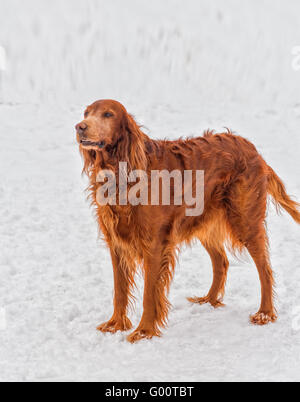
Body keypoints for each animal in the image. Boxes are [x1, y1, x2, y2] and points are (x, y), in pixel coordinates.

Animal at [75, 99, 300, 342]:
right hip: (204, 222)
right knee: (221, 261)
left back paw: (265, 313)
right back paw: (209, 300)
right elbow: (119, 290)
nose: (79, 127)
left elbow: (149, 293)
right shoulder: (116, 243)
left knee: (264, 268)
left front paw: (144, 331)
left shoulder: (155, 244)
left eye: (108, 114)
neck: (122, 172)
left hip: (245, 220)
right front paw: (115, 324)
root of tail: (252, 149)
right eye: (86, 113)